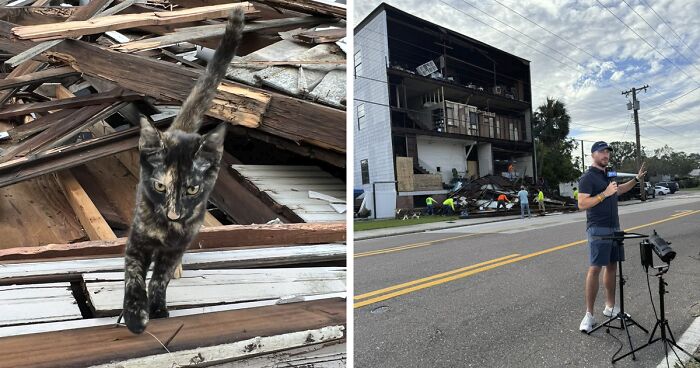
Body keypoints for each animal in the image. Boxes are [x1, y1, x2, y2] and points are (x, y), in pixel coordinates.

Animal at [124, 7, 245, 334]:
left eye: (192, 188)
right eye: (160, 186)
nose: (174, 213)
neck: (167, 230)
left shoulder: (177, 246)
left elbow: (160, 279)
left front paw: (158, 308)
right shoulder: (138, 240)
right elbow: (134, 275)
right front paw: (136, 315)